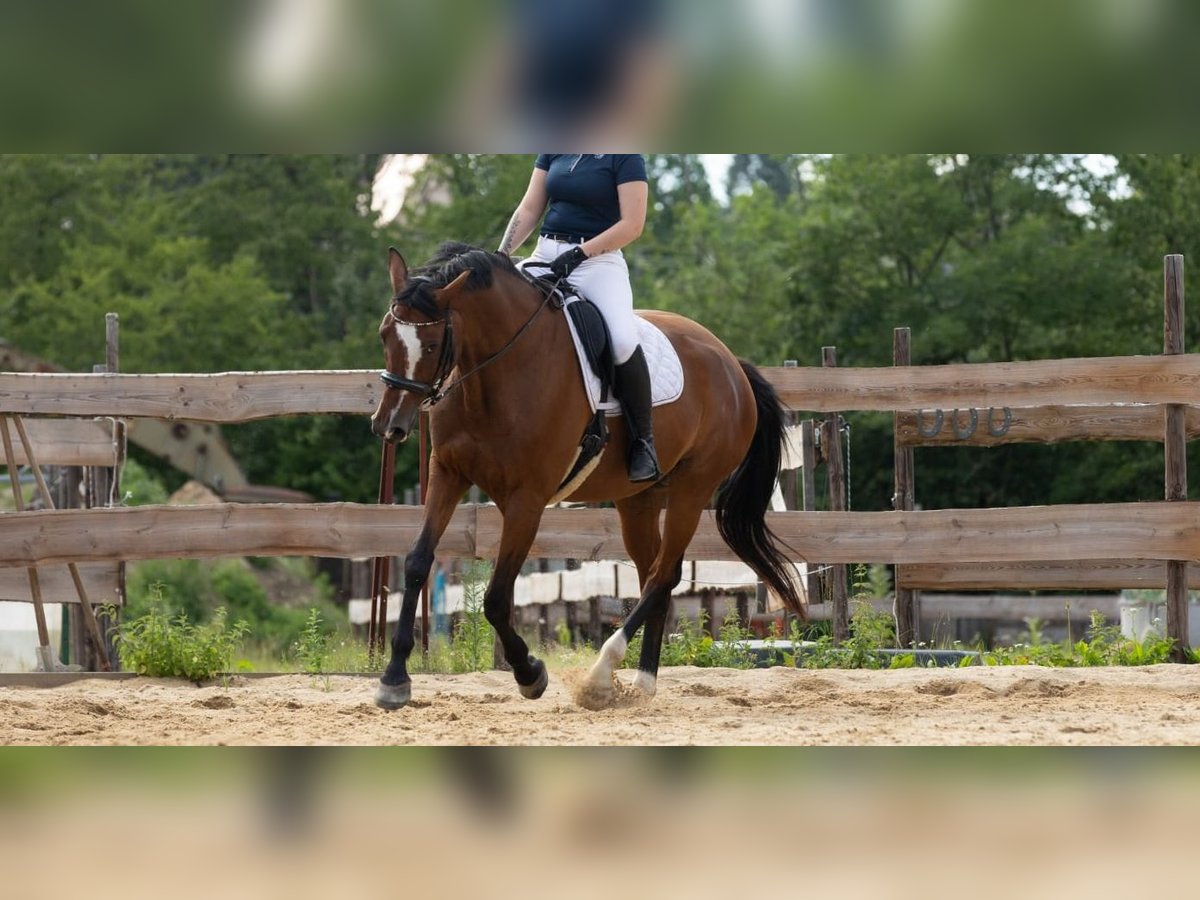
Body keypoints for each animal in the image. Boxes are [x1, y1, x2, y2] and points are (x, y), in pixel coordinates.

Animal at [370, 241, 805, 710]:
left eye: (432, 344)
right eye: (385, 334)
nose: (389, 425)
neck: (496, 375)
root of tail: (731, 363)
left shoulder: (527, 500)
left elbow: (497, 597)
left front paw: (530, 673)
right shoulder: (447, 474)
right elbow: (417, 562)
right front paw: (394, 678)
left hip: (693, 489)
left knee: (662, 575)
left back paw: (600, 674)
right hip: (639, 500)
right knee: (655, 574)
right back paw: (642, 682)